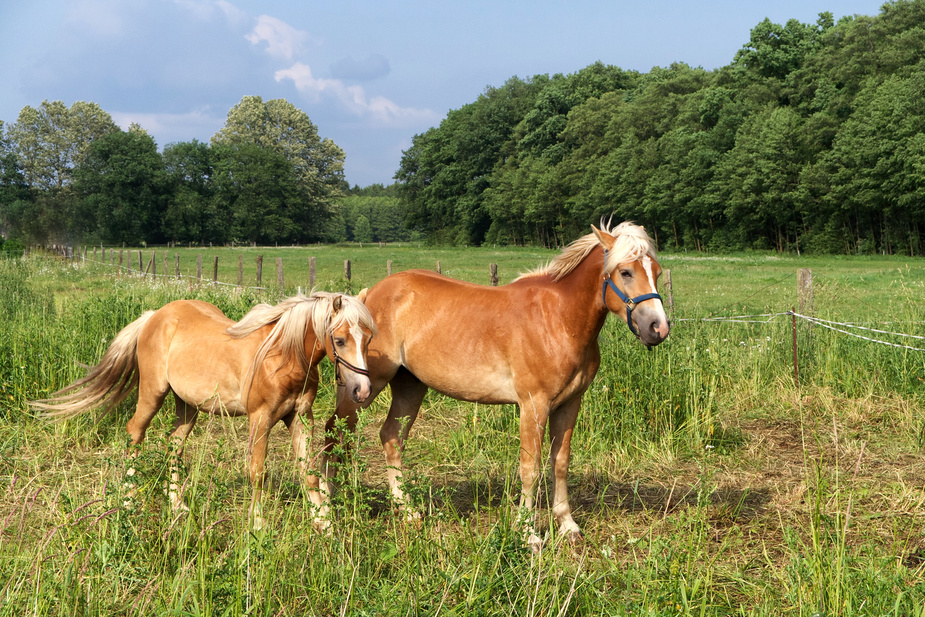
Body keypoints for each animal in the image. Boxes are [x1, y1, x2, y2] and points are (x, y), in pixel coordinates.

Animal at [33, 292, 376, 528]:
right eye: (339, 340)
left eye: (368, 339)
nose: (362, 390)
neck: (282, 356)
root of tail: (155, 316)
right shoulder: (261, 418)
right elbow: (257, 472)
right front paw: (258, 525)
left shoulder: (301, 418)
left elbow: (309, 472)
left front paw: (324, 524)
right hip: (153, 393)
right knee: (135, 433)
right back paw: (128, 501)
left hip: (188, 406)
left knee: (173, 445)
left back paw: (177, 506)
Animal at [328, 221, 668, 548]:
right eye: (625, 272)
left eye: (657, 271)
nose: (658, 328)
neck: (558, 318)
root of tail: (368, 296)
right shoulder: (534, 404)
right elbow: (530, 467)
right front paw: (528, 534)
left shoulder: (570, 404)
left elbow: (560, 463)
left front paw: (568, 526)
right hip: (365, 386)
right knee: (335, 431)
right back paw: (328, 510)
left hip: (410, 385)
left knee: (391, 437)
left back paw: (407, 510)